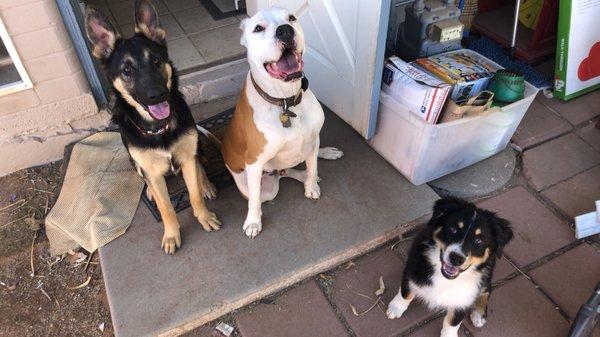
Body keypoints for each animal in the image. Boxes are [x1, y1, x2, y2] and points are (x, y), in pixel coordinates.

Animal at [85, 0, 221, 252]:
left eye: (157, 61)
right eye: (127, 70)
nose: (158, 95)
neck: (159, 129)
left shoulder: (187, 158)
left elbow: (194, 193)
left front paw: (204, 216)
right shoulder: (152, 172)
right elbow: (166, 207)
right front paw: (171, 234)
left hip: (196, 146)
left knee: (200, 165)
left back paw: (206, 183)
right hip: (135, 162)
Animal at [220, 8, 342, 239]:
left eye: (291, 18)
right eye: (258, 28)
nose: (285, 30)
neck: (286, 101)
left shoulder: (312, 138)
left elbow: (313, 166)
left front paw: (311, 184)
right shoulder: (255, 163)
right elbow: (255, 200)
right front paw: (253, 221)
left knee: (299, 165)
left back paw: (321, 160)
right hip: (261, 185)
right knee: (271, 184)